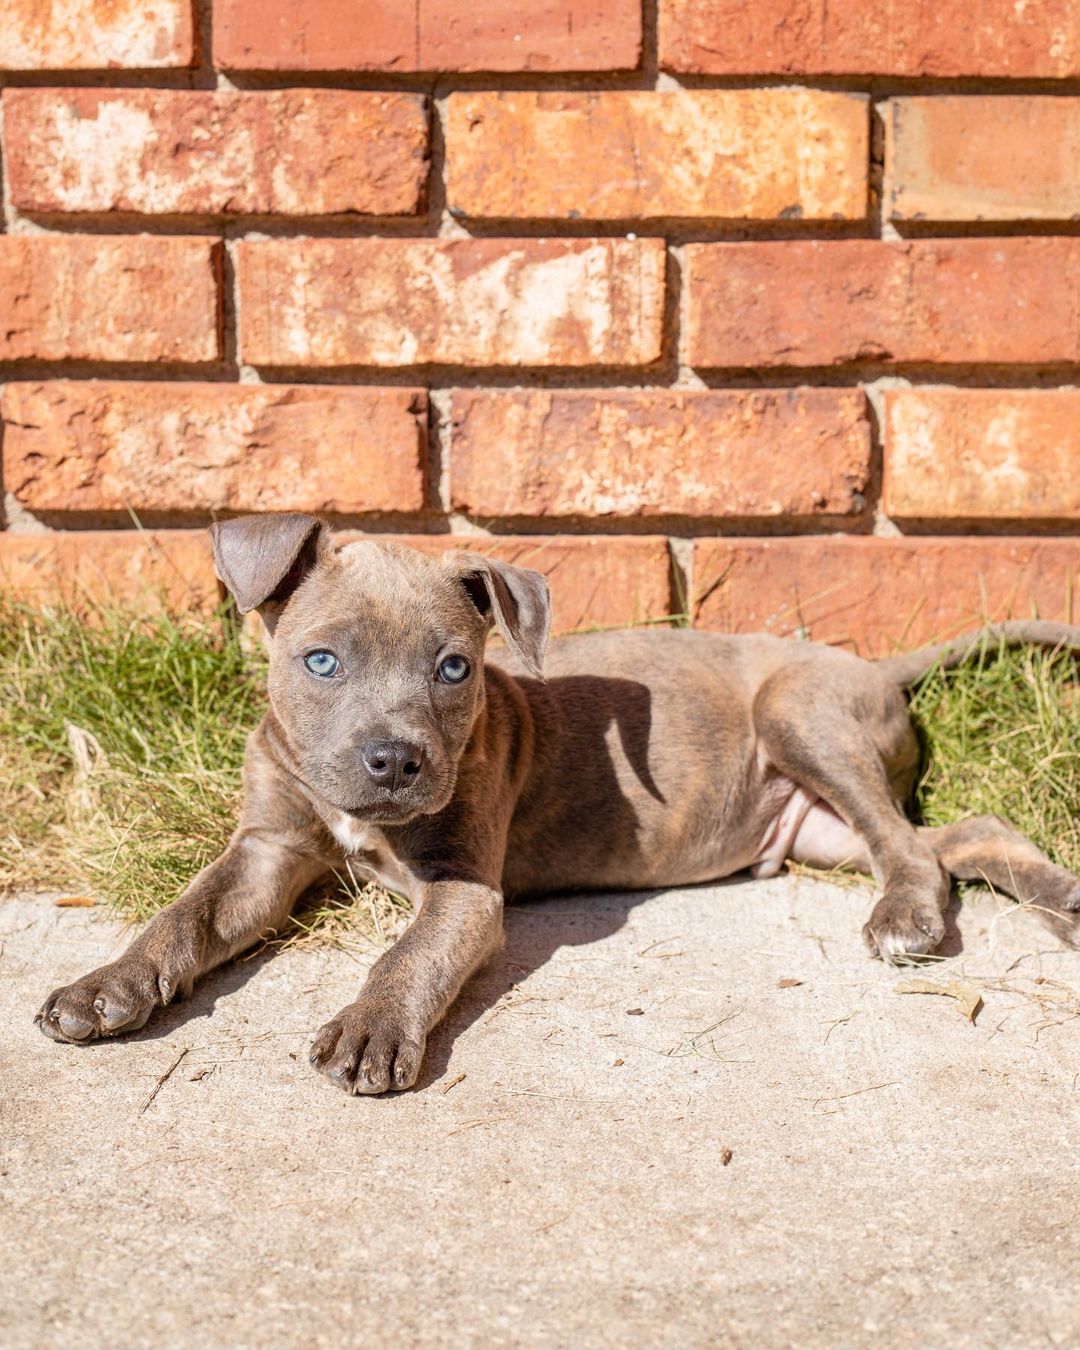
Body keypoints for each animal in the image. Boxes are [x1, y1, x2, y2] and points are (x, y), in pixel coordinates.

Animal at [35, 510, 1080, 1090]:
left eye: (455, 669)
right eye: (320, 661)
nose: (395, 762)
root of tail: (871, 664)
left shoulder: (463, 889)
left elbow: (408, 956)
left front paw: (371, 1031)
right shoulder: (265, 853)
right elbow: (184, 918)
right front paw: (103, 988)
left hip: (800, 715)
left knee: (912, 849)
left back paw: (909, 918)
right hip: (817, 823)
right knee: (955, 834)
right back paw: (1061, 898)